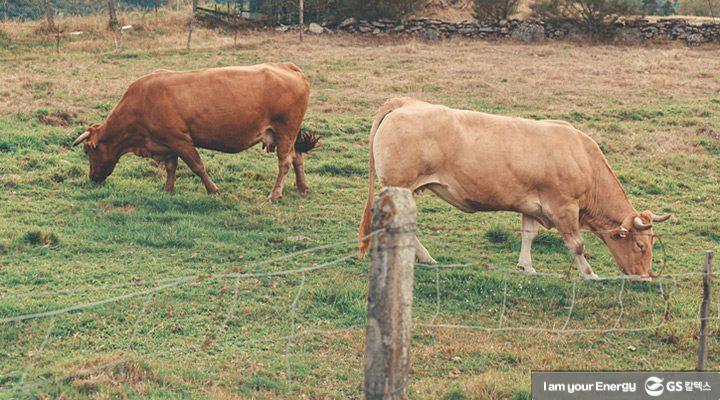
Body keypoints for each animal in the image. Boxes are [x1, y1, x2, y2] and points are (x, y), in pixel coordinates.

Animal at [71, 63, 316, 200]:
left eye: (88, 151)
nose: (92, 178)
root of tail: (287, 67)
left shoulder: (180, 140)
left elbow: (197, 166)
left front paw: (213, 190)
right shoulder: (167, 143)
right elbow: (171, 167)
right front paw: (168, 189)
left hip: (285, 131)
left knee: (285, 162)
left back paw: (275, 194)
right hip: (289, 134)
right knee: (297, 157)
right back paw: (302, 187)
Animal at [358, 97, 672, 278]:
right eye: (641, 245)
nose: (645, 277)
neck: (583, 158)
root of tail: (405, 102)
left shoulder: (532, 205)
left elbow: (529, 234)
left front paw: (527, 266)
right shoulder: (564, 207)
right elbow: (577, 244)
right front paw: (589, 274)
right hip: (399, 185)